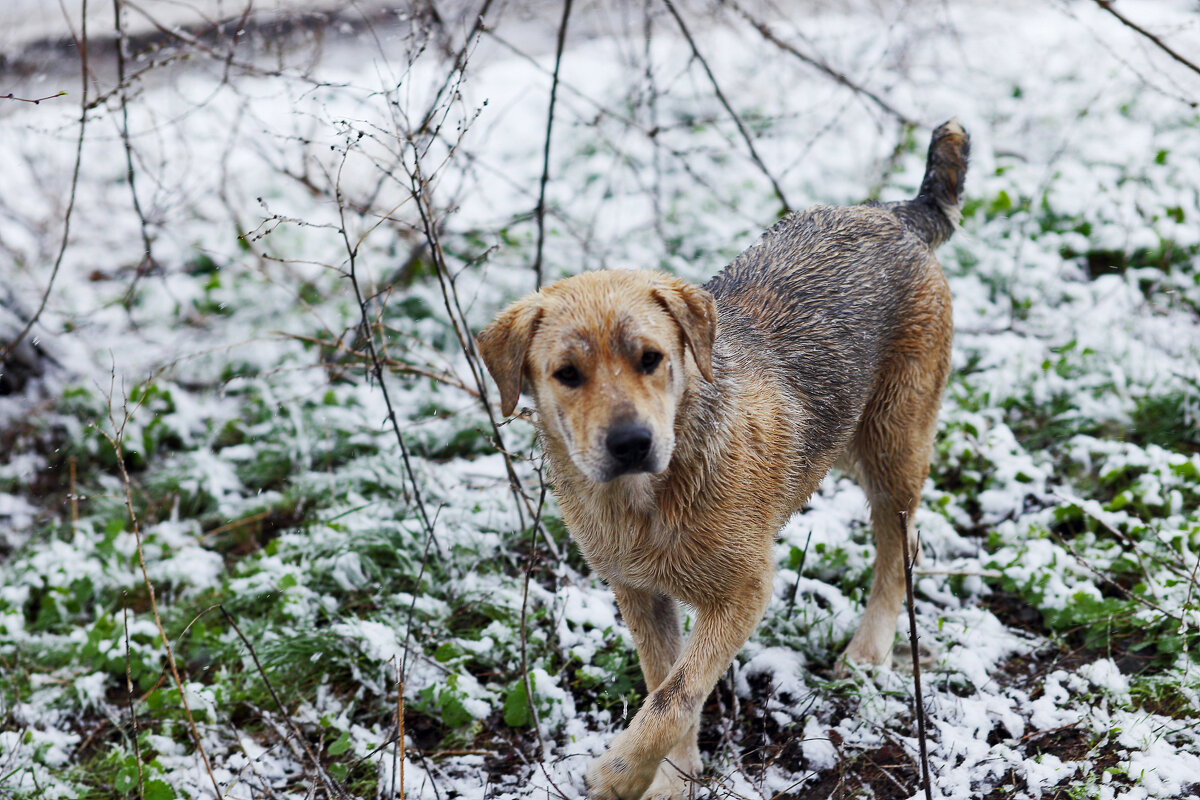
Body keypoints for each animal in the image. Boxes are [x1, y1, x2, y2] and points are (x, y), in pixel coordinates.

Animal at [475, 120, 964, 800]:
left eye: (651, 358)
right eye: (566, 374)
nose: (631, 442)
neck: (649, 500)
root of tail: (893, 212)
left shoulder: (744, 591)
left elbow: (675, 694)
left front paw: (620, 774)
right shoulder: (638, 592)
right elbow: (665, 682)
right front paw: (672, 778)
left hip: (894, 442)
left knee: (900, 547)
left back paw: (868, 653)